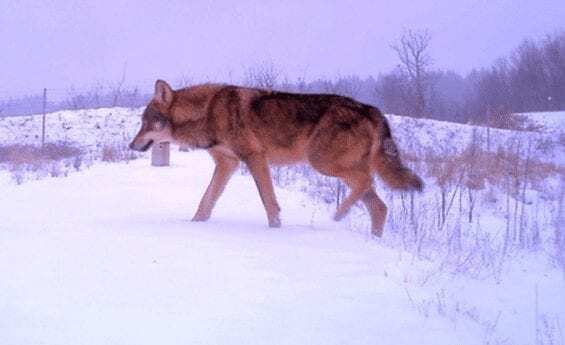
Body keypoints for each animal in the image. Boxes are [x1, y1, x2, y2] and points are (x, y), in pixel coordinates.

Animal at [130, 79, 420, 235]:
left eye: (145, 123)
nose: (132, 145)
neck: (208, 111)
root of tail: (371, 108)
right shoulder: (228, 164)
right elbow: (206, 201)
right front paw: (194, 225)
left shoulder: (255, 157)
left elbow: (268, 202)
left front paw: (276, 230)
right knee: (379, 206)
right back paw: (371, 239)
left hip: (322, 163)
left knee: (367, 182)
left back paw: (338, 215)